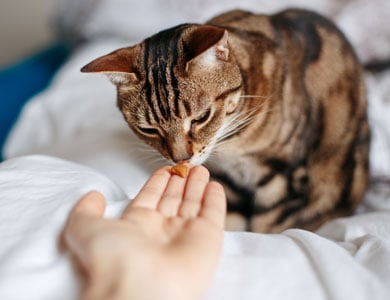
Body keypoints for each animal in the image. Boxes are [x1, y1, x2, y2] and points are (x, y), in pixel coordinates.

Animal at [81, 9, 368, 233]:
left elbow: (266, 227)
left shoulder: (284, 179)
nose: (181, 159)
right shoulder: (227, 182)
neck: (232, 146)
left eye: (201, 117)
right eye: (148, 129)